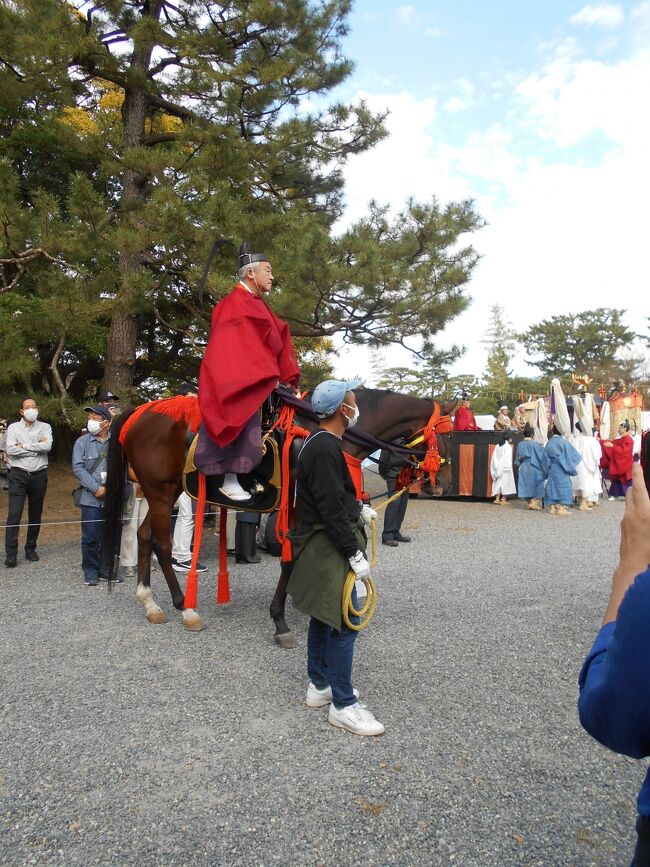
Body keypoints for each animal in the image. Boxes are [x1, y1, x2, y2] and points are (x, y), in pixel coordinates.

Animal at [104, 392, 454, 636]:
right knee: (162, 544)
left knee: (144, 536)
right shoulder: (301, 510)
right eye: (448, 435)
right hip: (160, 491)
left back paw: (150, 602)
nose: (442, 485)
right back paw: (185, 608)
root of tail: (139, 412)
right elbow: (291, 560)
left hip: (167, 490)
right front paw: (280, 618)